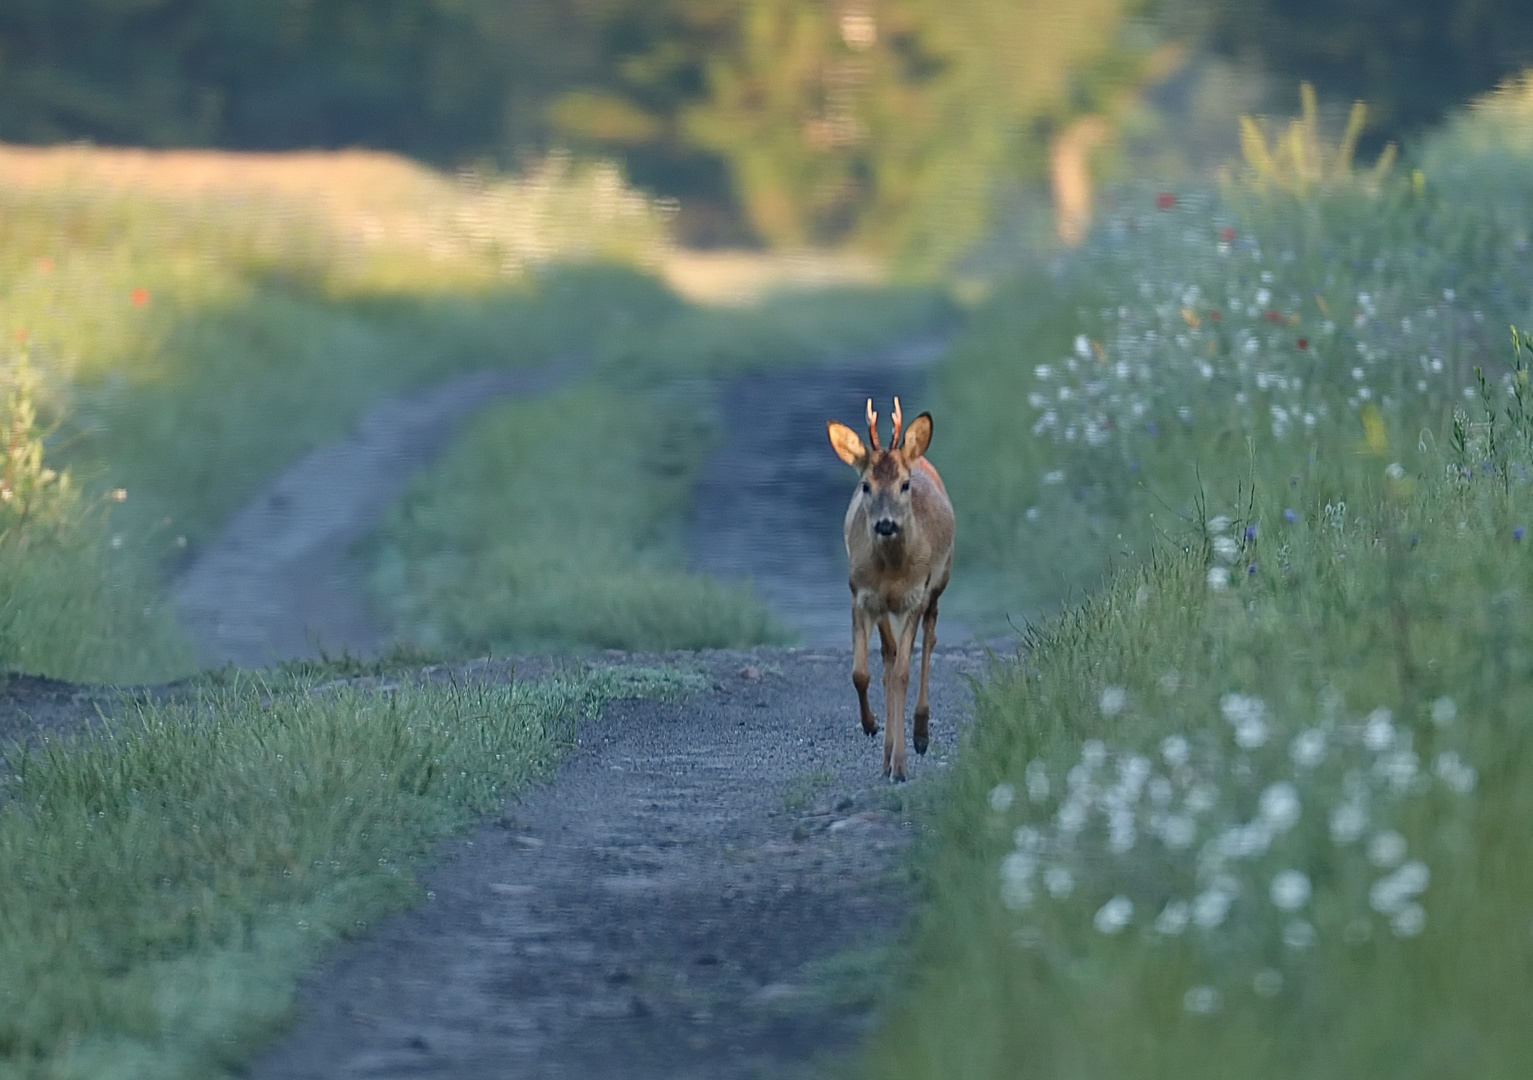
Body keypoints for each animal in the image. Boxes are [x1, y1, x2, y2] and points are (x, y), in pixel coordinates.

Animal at [821, 395, 950, 775]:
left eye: (905, 485)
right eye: (866, 486)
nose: (886, 524)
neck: (893, 570)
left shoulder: (915, 595)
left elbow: (904, 673)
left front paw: (902, 765)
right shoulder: (861, 595)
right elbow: (861, 673)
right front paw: (871, 725)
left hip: (939, 584)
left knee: (929, 641)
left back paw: (920, 734)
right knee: (888, 657)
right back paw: (887, 752)